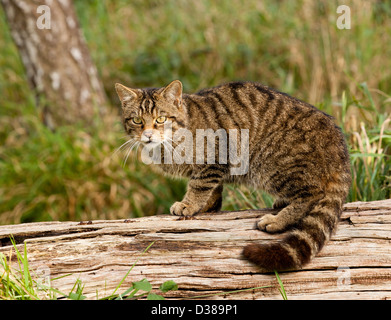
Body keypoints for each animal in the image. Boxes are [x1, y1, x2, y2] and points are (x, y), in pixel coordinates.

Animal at [115, 79, 350, 270]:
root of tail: (340, 149)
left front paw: (189, 204)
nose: (147, 134)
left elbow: (199, 186)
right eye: (137, 121)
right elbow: (212, 188)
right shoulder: (211, 168)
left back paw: (277, 220)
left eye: (161, 119)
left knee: (312, 194)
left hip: (272, 163)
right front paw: (206, 206)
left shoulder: (214, 158)